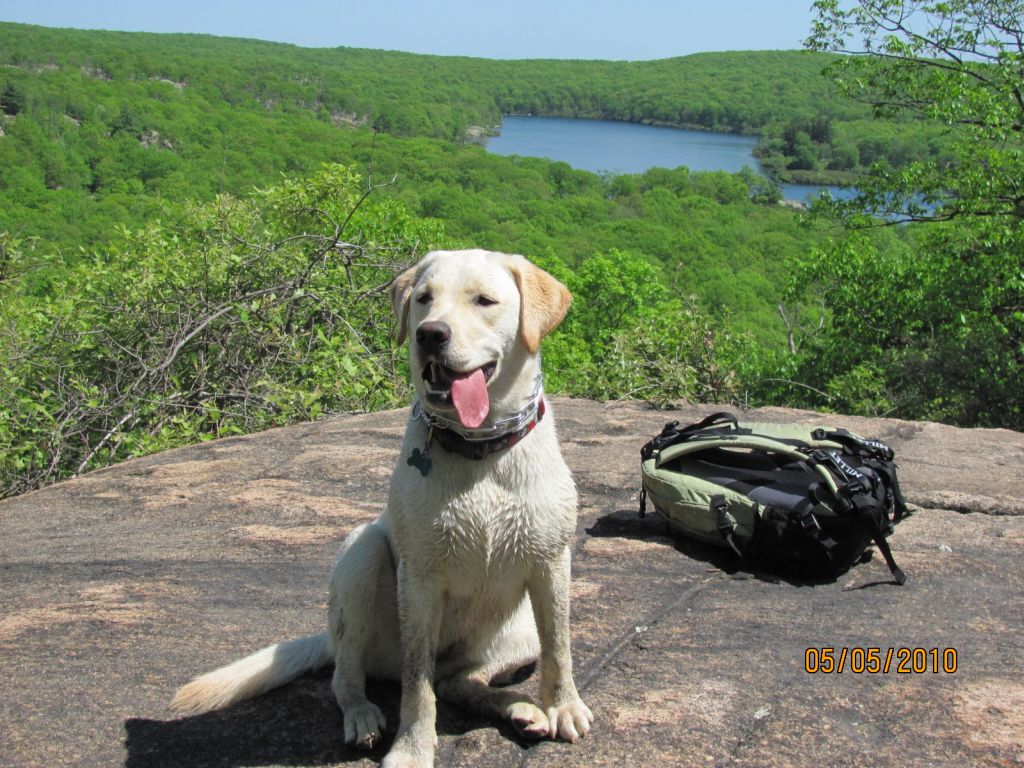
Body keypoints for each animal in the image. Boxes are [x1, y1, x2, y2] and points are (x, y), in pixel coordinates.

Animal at [173, 250, 598, 768]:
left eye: (484, 300)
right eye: (423, 299)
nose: (430, 335)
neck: (480, 450)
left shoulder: (551, 565)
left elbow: (560, 648)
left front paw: (563, 707)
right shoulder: (419, 580)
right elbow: (417, 684)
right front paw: (412, 749)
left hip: (517, 634)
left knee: (458, 681)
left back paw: (517, 708)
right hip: (361, 557)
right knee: (350, 675)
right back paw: (362, 715)